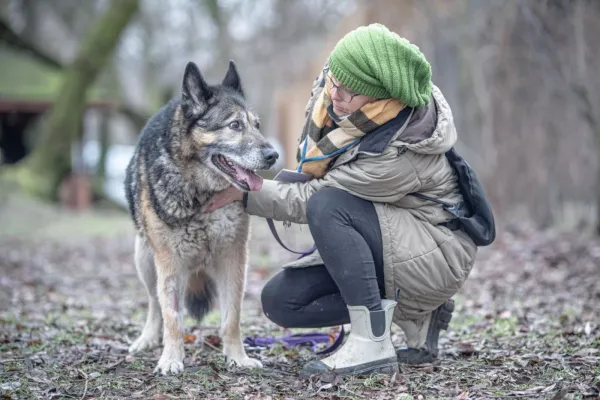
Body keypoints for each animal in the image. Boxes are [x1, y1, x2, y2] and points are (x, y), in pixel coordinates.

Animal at [125, 59, 280, 376]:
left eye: (257, 125)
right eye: (235, 125)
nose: (273, 155)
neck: (200, 193)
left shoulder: (233, 259)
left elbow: (232, 318)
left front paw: (237, 357)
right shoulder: (169, 264)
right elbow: (172, 317)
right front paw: (171, 359)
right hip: (145, 260)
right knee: (154, 304)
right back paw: (147, 339)